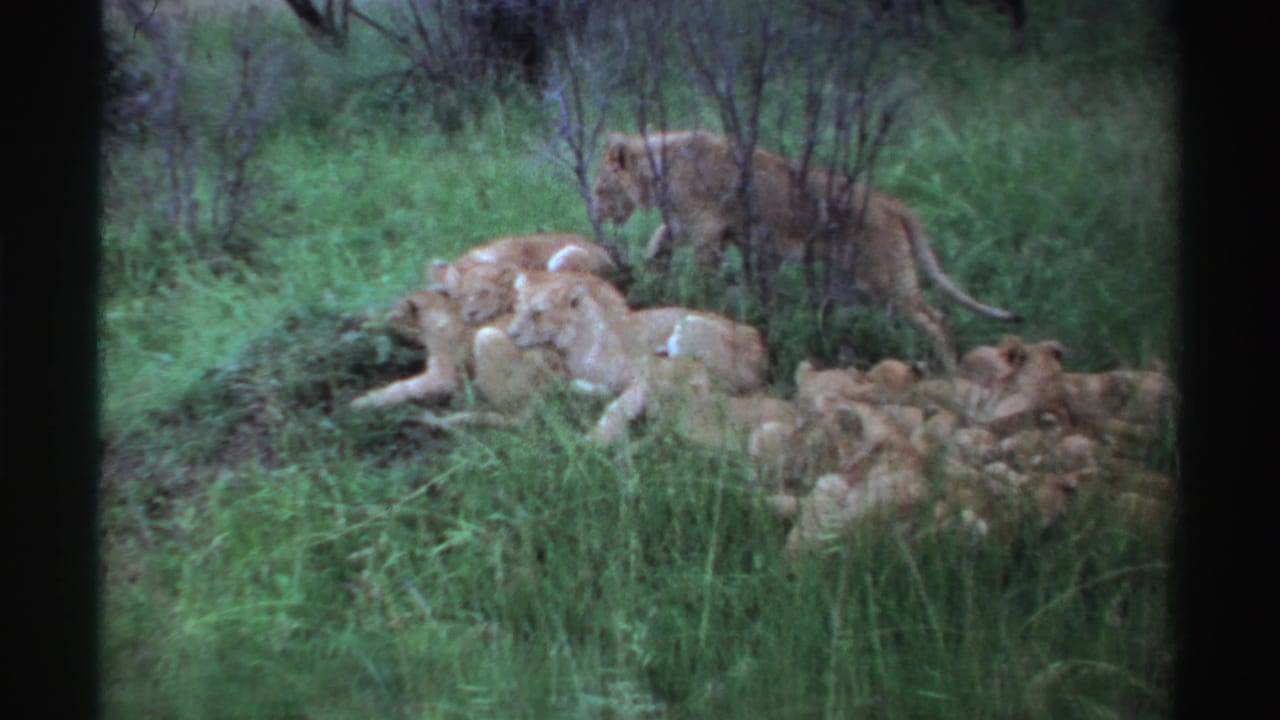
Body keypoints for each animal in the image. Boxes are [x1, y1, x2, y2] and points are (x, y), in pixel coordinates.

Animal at [592, 129, 1021, 369]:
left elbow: (700, 273)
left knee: (937, 318)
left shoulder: (708, 230)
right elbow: (660, 236)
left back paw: (951, 371)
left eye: (599, 188)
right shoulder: (697, 226)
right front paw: (650, 266)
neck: (657, 170)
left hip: (886, 278)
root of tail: (891, 203)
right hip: (853, 285)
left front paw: (695, 298)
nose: (595, 210)